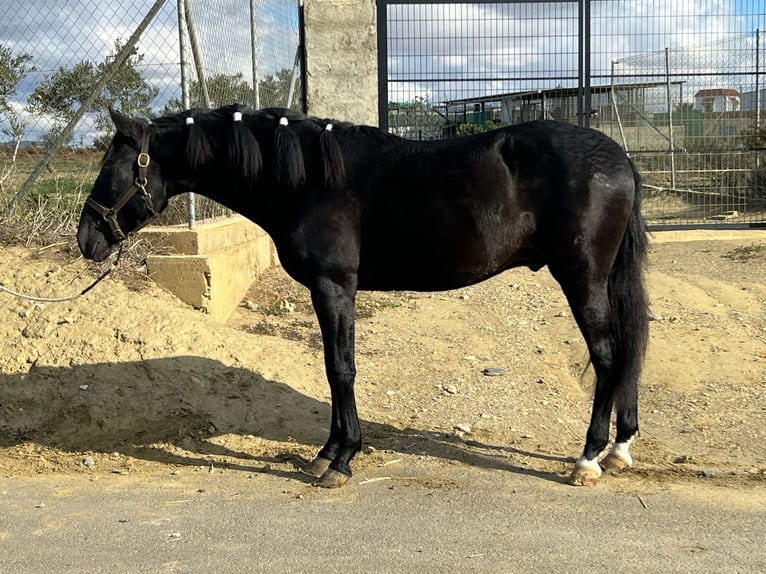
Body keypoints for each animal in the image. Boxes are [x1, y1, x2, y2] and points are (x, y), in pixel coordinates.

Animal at [78, 106, 652, 488]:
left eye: (113, 168)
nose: (87, 239)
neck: (309, 178)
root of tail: (619, 158)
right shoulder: (328, 291)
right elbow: (334, 370)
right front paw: (326, 452)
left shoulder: (334, 287)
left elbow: (341, 369)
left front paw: (341, 459)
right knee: (626, 354)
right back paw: (619, 448)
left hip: (581, 277)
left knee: (608, 356)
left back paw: (588, 459)